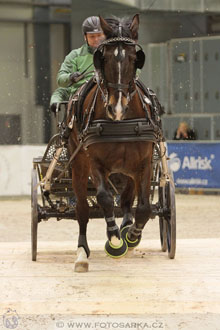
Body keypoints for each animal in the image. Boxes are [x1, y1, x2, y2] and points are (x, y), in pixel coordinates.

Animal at [68, 14, 159, 272]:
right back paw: (82, 252)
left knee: (128, 199)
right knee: (82, 209)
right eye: (105, 58)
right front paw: (115, 239)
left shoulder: (145, 163)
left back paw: (127, 226)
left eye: (134, 58)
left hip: (128, 169)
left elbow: (144, 207)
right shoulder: (94, 162)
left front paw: (132, 236)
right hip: (78, 164)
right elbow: (105, 199)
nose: (116, 108)